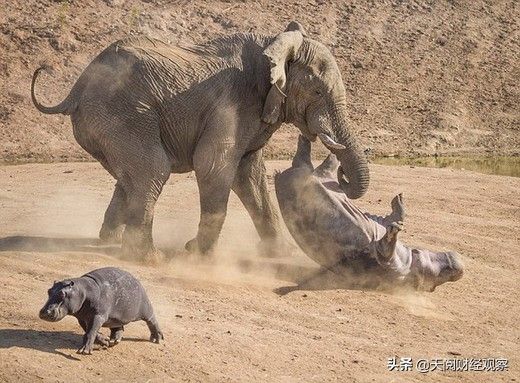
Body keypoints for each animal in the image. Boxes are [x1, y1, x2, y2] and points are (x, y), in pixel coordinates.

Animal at [30, 21, 370, 264]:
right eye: (318, 92)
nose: (342, 176)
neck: (274, 44)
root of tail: (77, 88)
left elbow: (250, 174)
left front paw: (280, 253)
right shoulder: (232, 103)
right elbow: (214, 165)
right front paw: (198, 254)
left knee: (131, 176)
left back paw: (109, 240)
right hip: (121, 114)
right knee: (153, 170)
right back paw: (148, 258)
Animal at [274, 136, 466, 292]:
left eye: (438, 280)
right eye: (445, 273)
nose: (460, 268)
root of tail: (280, 177)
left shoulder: (388, 262)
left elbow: (385, 249)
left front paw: (394, 231)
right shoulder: (382, 224)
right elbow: (395, 216)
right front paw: (399, 204)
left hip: (309, 173)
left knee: (314, 161)